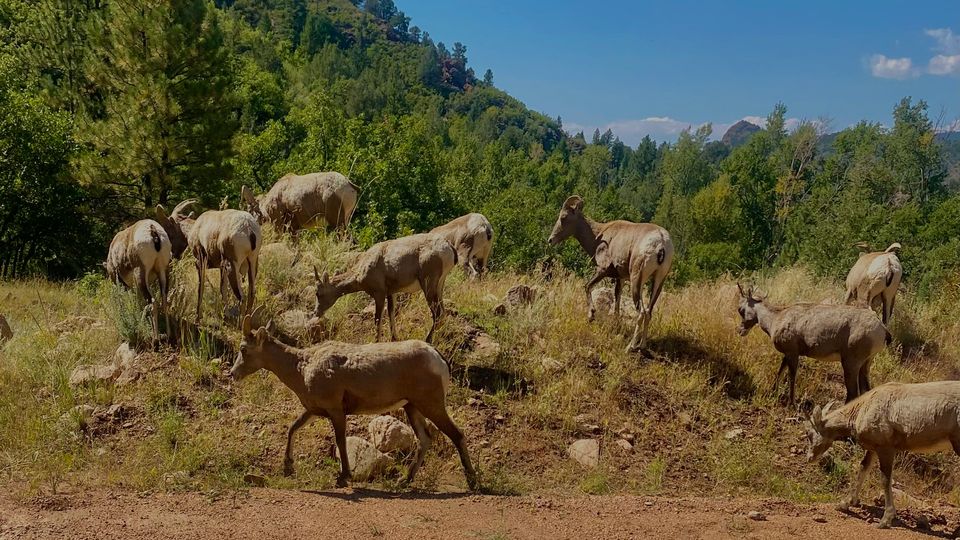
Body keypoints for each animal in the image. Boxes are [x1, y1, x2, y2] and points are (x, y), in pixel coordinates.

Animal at [230, 314, 478, 490]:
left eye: (243, 349)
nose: (232, 373)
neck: (302, 367)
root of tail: (438, 358)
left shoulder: (336, 410)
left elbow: (340, 441)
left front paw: (343, 477)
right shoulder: (314, 410)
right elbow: (292, 428)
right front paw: (288, 468)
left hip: (431, 404)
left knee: (456, 434)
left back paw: (472, 482)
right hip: (412, 406)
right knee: (425, 439)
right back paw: (404, 481)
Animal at [313, 233, 455, 343]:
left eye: (318, 293)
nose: (316, 312)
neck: (362, 269)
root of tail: (449, 248)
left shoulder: (379, 293)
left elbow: (377, 318)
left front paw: (376, 341)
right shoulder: (391, 292)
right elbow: (391, 312)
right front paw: (394, 338)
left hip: (428, 283)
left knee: (438, 313)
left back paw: (428, 340)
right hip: (440, 284)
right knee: (443, 312)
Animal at [548, 195, 673, 352]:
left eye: (564, 217)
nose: (550, 240)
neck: (598, 236)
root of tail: (661, 243)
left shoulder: (603, 270)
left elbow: (587, 286)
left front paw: (591, 316)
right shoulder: (620, 279)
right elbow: (617, 301)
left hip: (636, 280)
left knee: (641, 313)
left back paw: (630, 347)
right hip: (658, 280)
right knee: (649, 312)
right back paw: (642, 346)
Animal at [736, 284, 888, 405]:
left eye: (740, 309)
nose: (740, 330)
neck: (776, 318)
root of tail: (882, 328)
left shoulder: (792, 353)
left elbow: (792, 377)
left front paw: (791, 403)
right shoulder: (788, 354)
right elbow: (780, 371)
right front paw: (773, 391)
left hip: (851, 364)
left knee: (853, 394)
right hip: (865, 363)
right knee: (865, 390)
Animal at [804, 381, 960, 528]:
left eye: (809, 434)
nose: (810, 458)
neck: (860, 412)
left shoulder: (886, 447)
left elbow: (885, 479)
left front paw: (885, 520)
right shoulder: (874, 448)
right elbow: (863, 468)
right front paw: (844, 504)